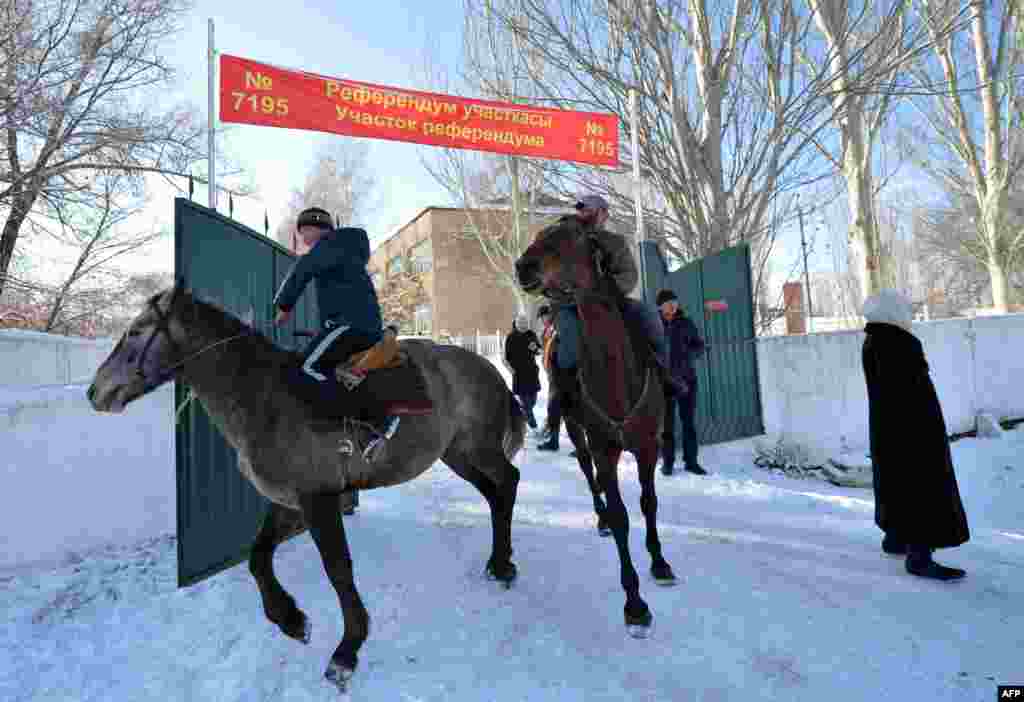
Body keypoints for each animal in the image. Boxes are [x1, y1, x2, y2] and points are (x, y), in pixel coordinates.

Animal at [86, 282, 528, 695]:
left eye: (136, 330)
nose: (95, 392)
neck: (264, 398)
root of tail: (487, 369)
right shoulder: (290, 502)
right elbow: (258, 557)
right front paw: (291, 620)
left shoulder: (319, 500)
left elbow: (338, 569)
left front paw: (347, 651)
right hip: (458, 454)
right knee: (494, 494)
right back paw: (498, 562)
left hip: (479, 448)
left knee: (508, 482)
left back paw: (503, 564)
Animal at [516, 218, 675, 638]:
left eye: (570, 236)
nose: (523, 267)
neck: (615, 369)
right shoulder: (606, 449)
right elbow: (620, 516)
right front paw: (634, 603)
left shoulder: (648, 446)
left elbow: (649, 503)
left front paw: (659, 562)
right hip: (574, 424)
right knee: (586, 468)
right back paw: (600, 513)